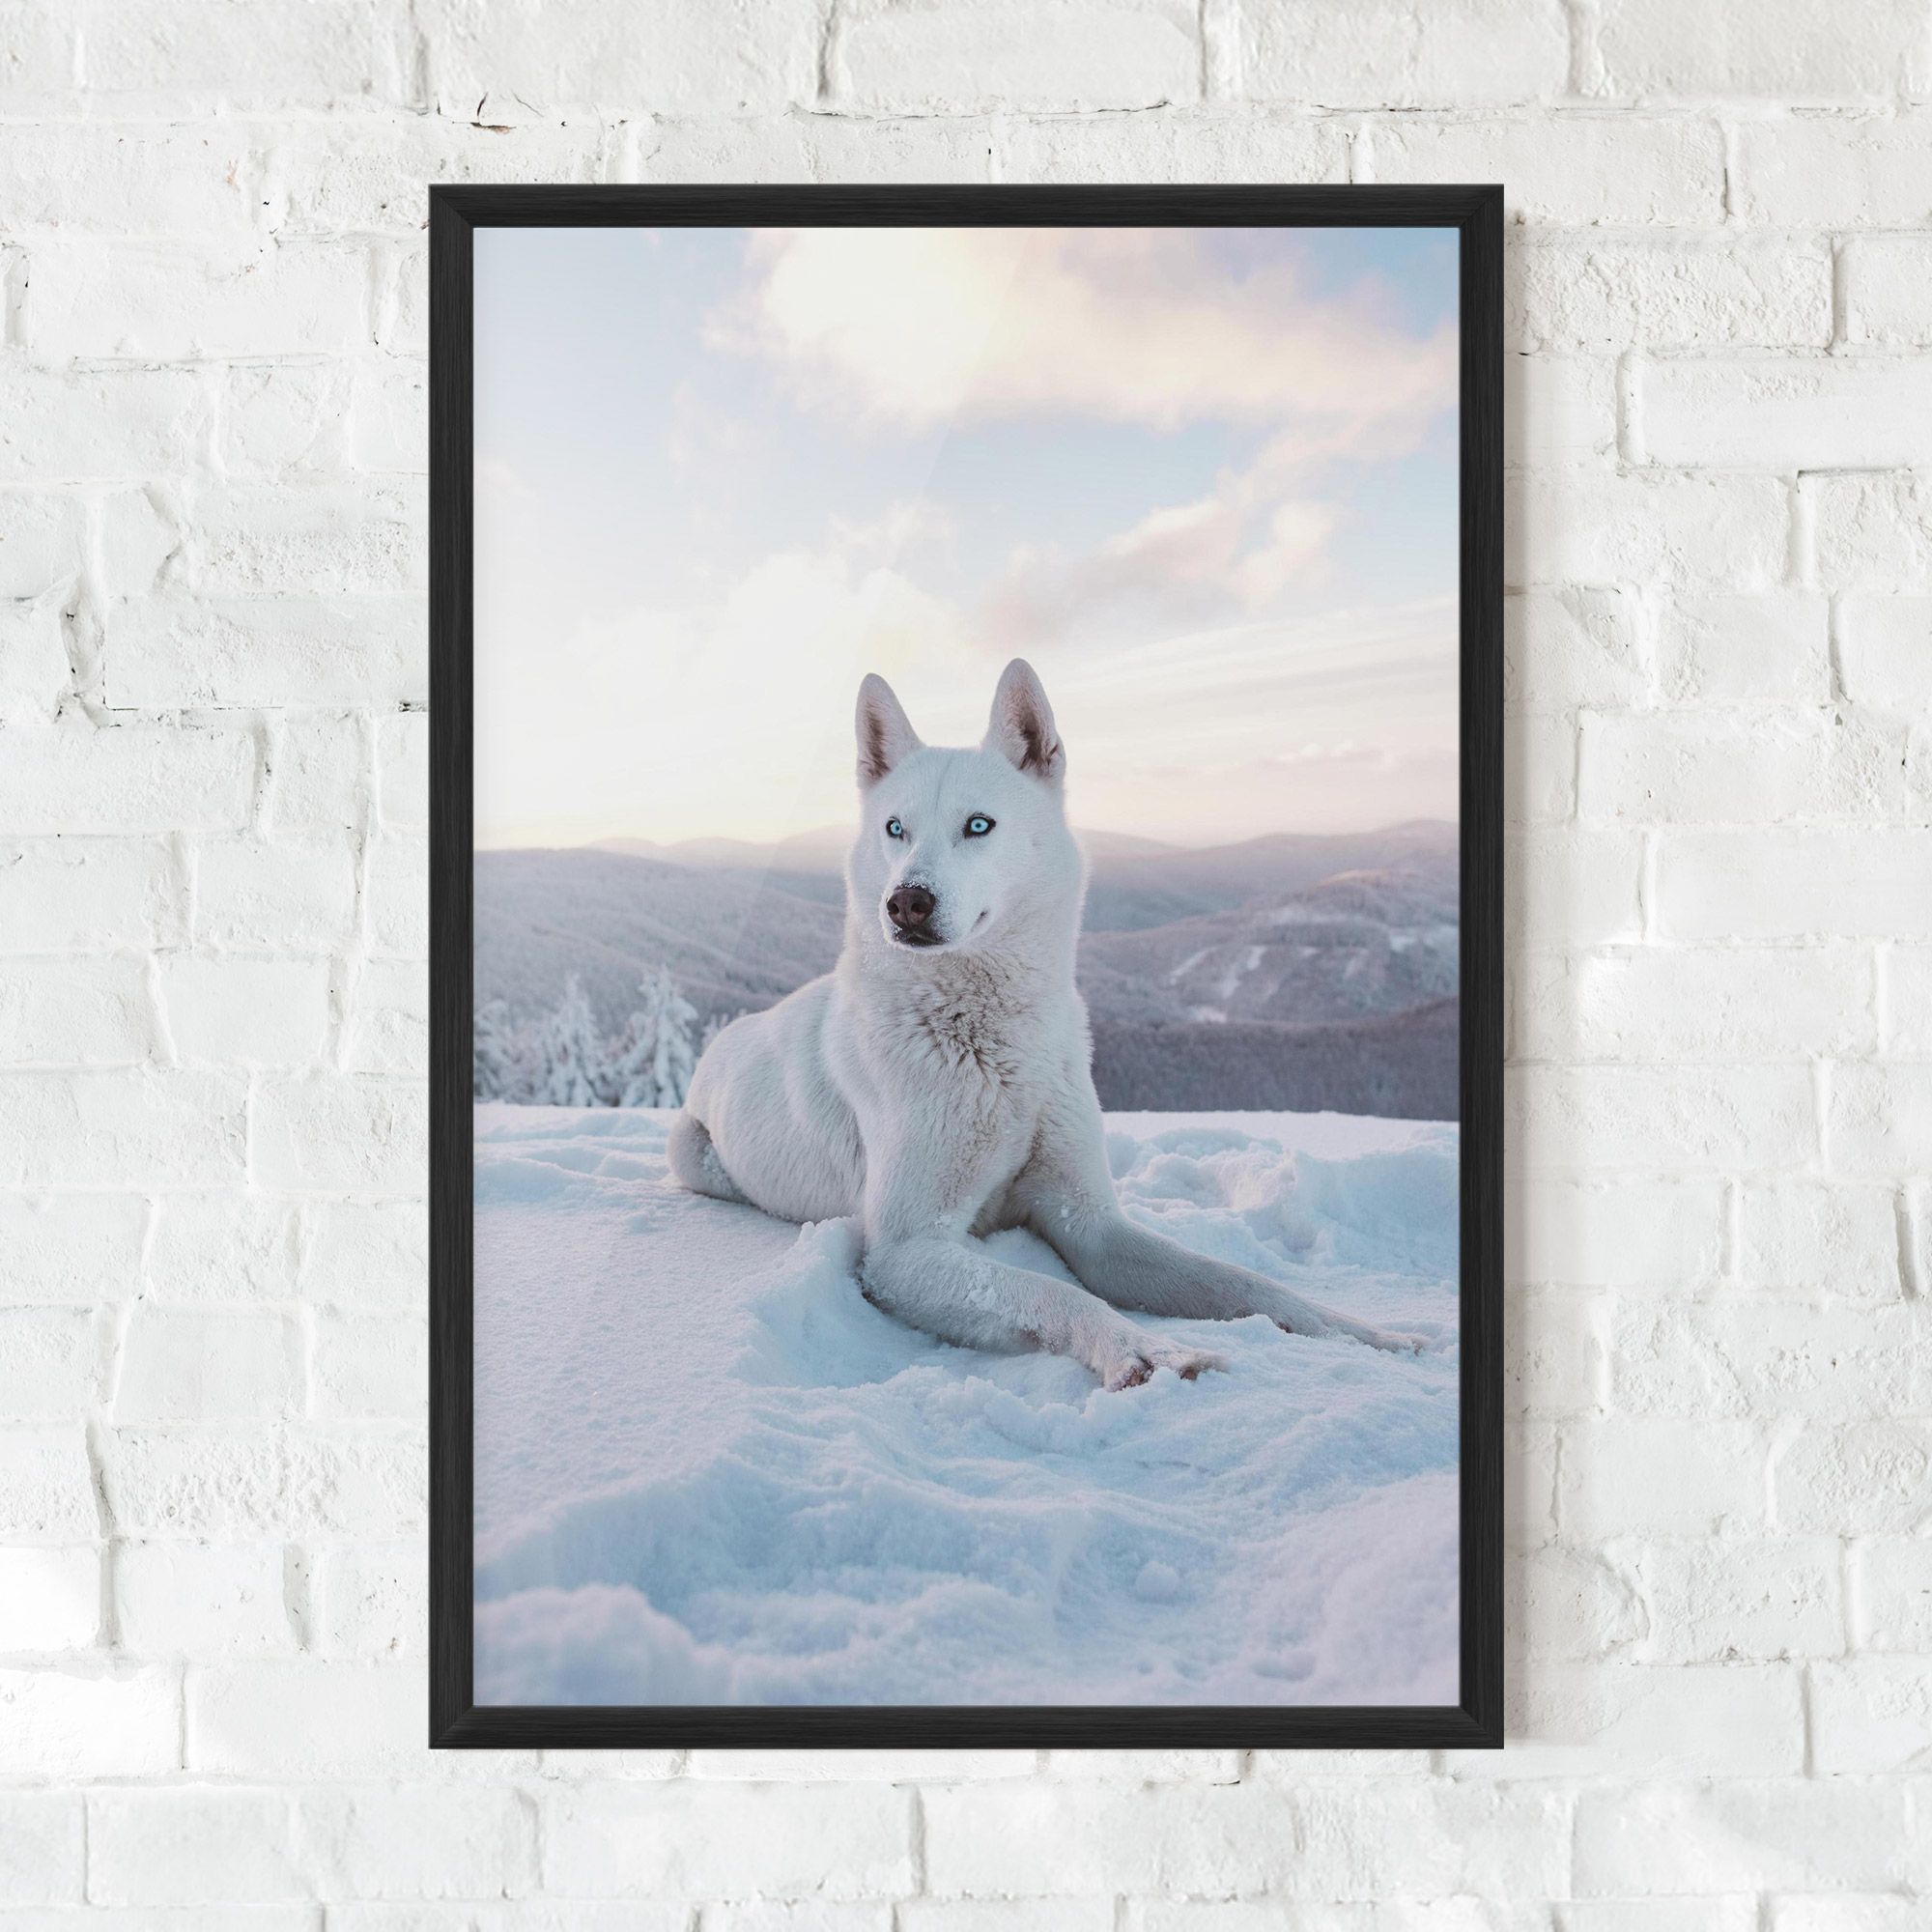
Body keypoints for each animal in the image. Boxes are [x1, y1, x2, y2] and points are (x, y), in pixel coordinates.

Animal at [668, 659, 1418, 1389]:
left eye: (978, 825)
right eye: (894, 829)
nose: (905, 902)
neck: (994, 1047)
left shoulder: (1091, 1224)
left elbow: (1241, 1282)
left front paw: (1364, 1333)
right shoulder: (908, 1250)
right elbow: (1053, 1292)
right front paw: (1145, 1350)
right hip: (694, 1155)